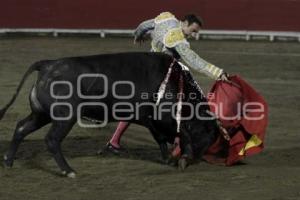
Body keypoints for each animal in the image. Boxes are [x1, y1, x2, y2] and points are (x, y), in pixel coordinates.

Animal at [0, 52, 218, 177]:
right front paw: (182, 158)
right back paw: (68, 171)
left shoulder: (152, 121)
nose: (200, 158)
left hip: (41, 115)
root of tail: (47, 65)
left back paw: (8, 161)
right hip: (65, 117)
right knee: (52, 139)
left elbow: (163, 139)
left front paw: (169, 158)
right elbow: (183, 134)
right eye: (207, 136)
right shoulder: (163, 119)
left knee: (21, 128)